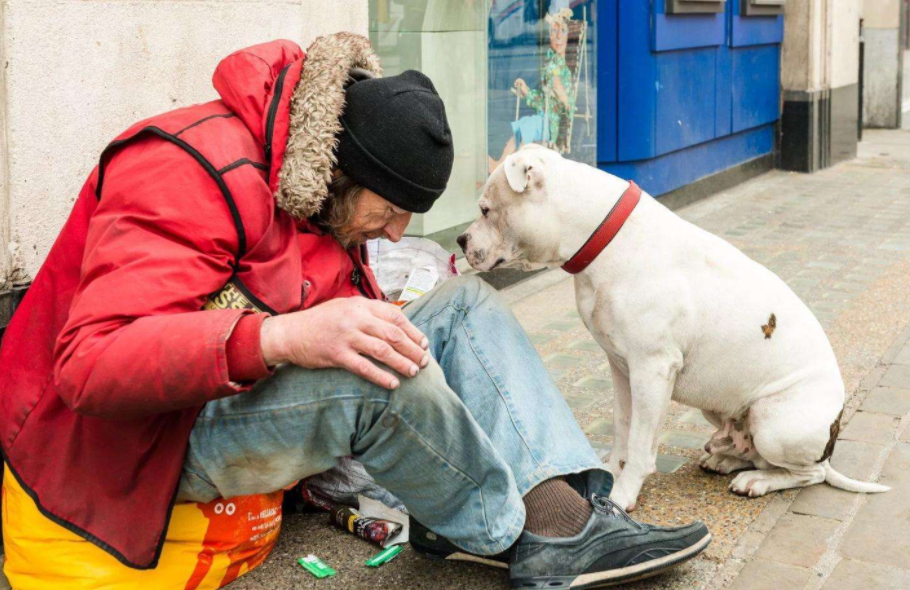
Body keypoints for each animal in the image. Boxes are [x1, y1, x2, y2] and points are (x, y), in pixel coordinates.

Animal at [460, 145, 888, 512]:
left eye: (485, 209)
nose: (461, 239)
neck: (604, 237)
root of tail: (832, 434)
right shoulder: (621, 367)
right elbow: (623, 428)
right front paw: (611, 470)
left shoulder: (651, 370)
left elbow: (640, 444)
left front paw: (622, 494)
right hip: (720, 408)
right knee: (756, 452)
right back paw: (727, 460)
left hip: (775, 422)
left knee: (806, 473)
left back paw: (759, 481)